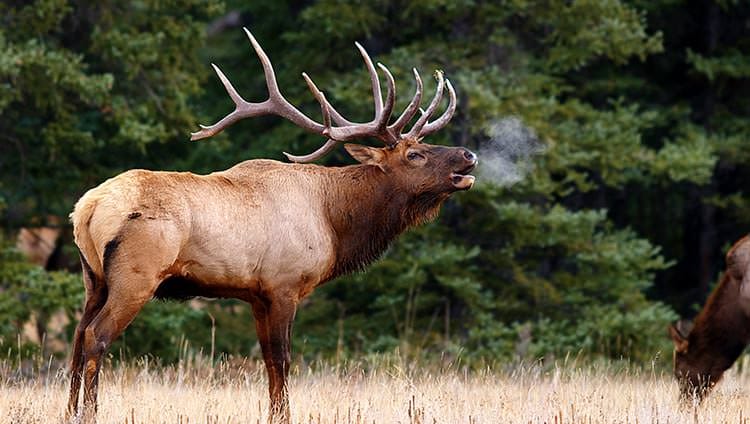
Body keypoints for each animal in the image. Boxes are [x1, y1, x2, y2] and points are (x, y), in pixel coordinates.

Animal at [66, 28, 477, 423]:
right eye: (415, 154)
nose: (469, 155)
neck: (334, 221)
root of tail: (87, 207)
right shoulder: (284, 284)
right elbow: (283, 358)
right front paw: (284, 415)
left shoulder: (256, 294)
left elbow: (266, 360)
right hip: (136, 276)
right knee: (97, 335)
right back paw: (91, 412)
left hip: (93, 278)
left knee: (77, 335)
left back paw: (69, 411)